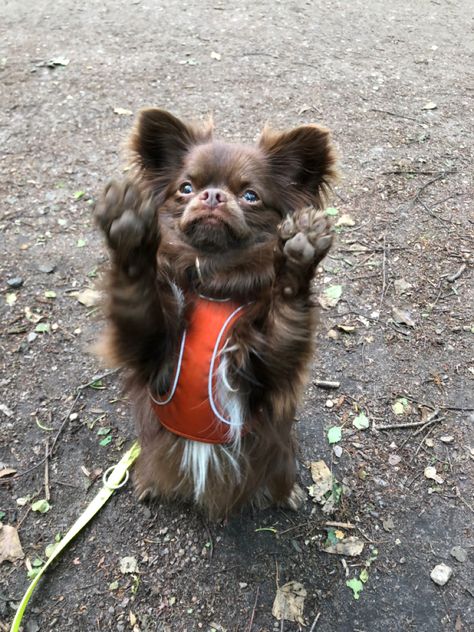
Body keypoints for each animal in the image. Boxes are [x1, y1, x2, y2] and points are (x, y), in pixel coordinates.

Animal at [94, 108, 336, 520]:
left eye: (251, 196)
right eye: (186, 188)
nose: (212, 195)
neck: (213, 283)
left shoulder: (263, 370)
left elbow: (286, 317)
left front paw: (298, 254)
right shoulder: (149, 349)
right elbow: (136, 294)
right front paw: (129, 230)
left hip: (280, 459)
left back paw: (286, 494)